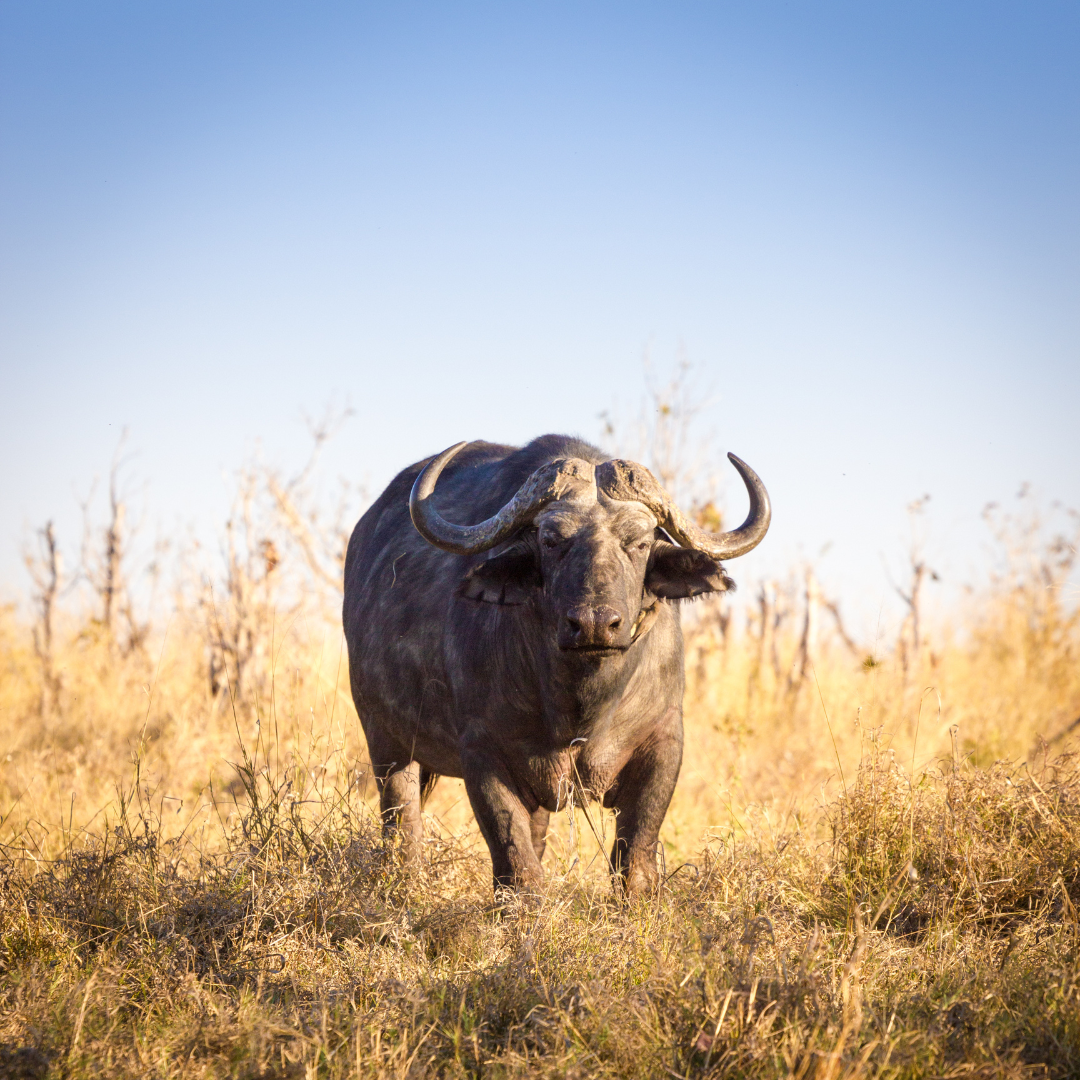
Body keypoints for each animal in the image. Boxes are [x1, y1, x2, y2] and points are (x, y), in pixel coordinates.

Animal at [343, 435, 770, 896]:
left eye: (639, 543)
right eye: (551, 540)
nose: (595, 623)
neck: (580, 705)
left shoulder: (663, 743)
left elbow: (635, 855)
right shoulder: (482, 753)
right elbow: (517, 862)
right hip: (386, 741)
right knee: (402, 823)